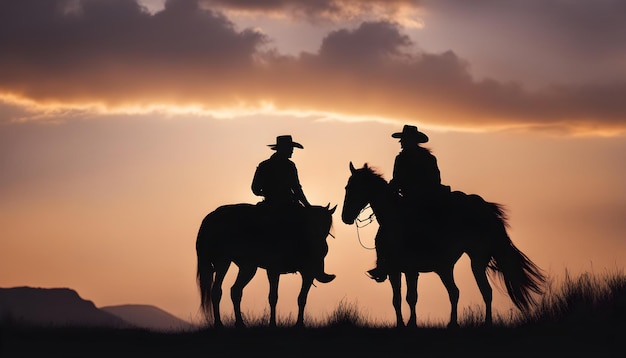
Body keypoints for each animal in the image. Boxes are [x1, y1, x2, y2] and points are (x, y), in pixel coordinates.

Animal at [196, 201, 334, 328]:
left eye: (327, 226)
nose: (323, 247)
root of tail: (211, 218)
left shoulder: (301, 272)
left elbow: (299, 298)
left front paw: (296, 324)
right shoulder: (280, 270)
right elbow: (276, 297)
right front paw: (276, 324)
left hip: (247, 267)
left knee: (235, 291)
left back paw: (239, 323)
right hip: (223, 262)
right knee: (217, 291)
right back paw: (219, 324)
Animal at [338, 163, 544, 328]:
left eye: (353, 187)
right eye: (347, 186)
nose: (345, 217)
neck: (394, 220)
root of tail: (484, 208)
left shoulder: (411, 270)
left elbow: (411, 297)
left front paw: (412, 324)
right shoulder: (394, 270)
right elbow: (396, 299)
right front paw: (401, 325)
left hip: (476, 261)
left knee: (485, 291)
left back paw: (486, 323)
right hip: (446, 269)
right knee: (455, 292)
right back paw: (453, 323)